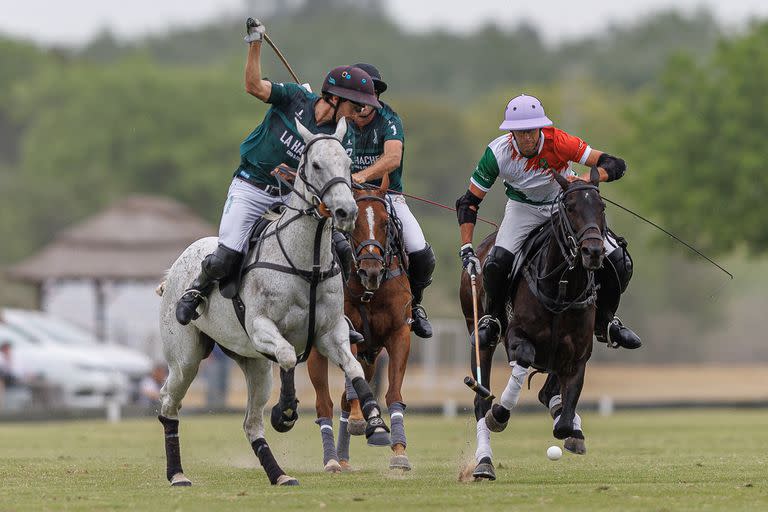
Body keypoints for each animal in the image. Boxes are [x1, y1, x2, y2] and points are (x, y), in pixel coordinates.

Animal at [155, 121, 390, 488]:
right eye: (316, 165)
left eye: (348, 164)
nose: (346, 212)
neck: (306, 262)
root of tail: (174, 268)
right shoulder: (262, 327)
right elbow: (289, 356)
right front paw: (286, 411)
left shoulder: (331, 332)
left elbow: (352, 367)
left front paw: (375, 422)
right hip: (185, 359)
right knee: (168, 403)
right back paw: (177, 474)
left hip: (254, 365)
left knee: (251, 424)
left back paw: (279, 474)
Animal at [460, 169, 608, 480]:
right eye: (570, 207)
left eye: (601, 207)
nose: (593, 252)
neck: (562, 287)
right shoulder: (517, 338)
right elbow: (523, 361)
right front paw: (500, 414)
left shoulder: (578, 356)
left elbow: (562, 422)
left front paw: (571, 426)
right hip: (478, 332)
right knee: (481, 399)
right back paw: (484, 463)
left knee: (548, 393)